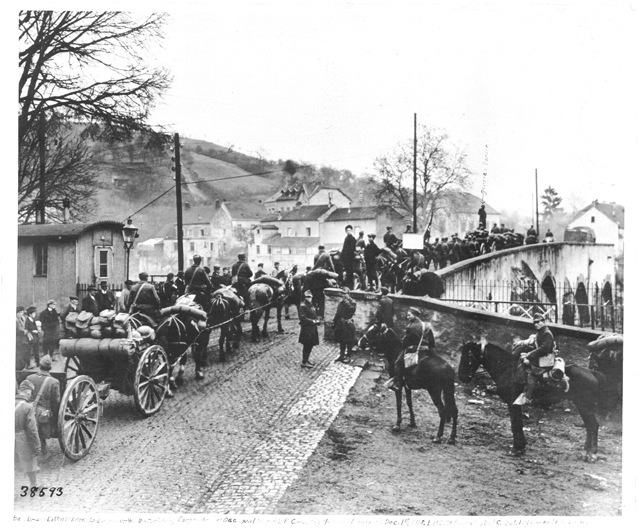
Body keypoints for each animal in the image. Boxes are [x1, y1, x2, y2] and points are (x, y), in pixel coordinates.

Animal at [458, 342, 608, 458]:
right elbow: (517, 424)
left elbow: (516, 425)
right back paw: (587, 450)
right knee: (589, 426)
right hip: (581, 405)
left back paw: (591, 453)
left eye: (469, 356)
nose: (462, 377)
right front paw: (521, 447)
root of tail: (592, 373)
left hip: (584, 405)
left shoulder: (512, 403)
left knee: (593, 425)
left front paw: (517, 449)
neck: (509, 369)